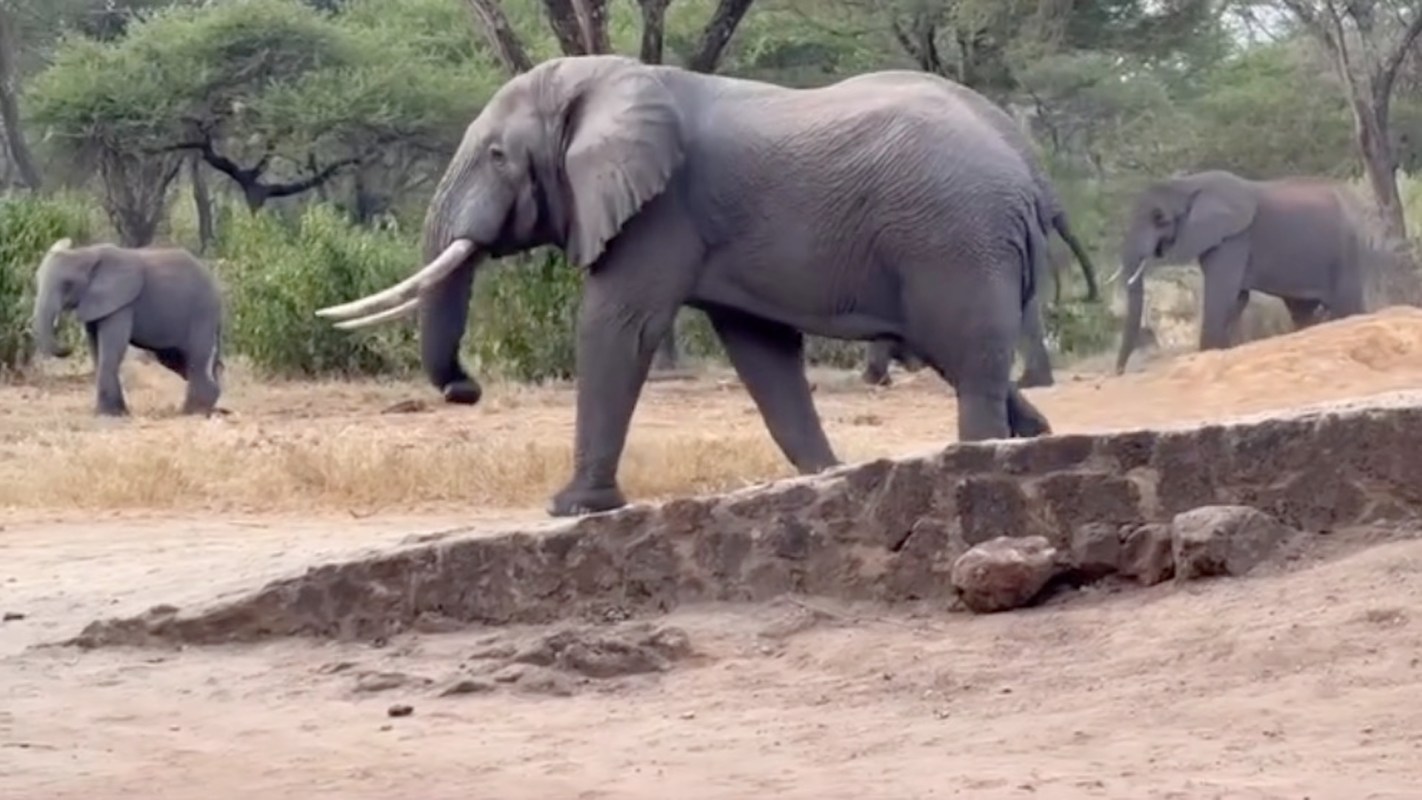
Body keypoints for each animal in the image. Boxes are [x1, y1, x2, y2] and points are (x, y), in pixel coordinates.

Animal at [31, 238, 226, 416]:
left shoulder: (120, 302)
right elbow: (96, 348)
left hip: (202, 311)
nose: (68, 347)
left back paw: (194, 411)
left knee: (196, 358)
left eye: (67, 284)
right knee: (180, 360)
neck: (86, 253)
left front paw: (109, 414)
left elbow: (112, 349)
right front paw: (114, 411)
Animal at [316, 55, 1055, 517]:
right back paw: (1034, 443)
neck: (607, 79)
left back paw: (979, 459)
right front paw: (831, 478)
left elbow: (616, 325)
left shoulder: (660, 208)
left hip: (956, 241)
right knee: (958, 357)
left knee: (969, 362)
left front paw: (570, 508)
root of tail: (1029, 174)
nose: (465, 389)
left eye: (497, 156)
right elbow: (760, 351)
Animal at [1111, 169, 1369, 374]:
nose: (1120, 372)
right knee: (1301, 310)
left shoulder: (1234, 238)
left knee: (1345, 305)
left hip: (1346, 249)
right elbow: (1235, 299)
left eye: (1159, 219)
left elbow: (1222, 295)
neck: (1188, 184)